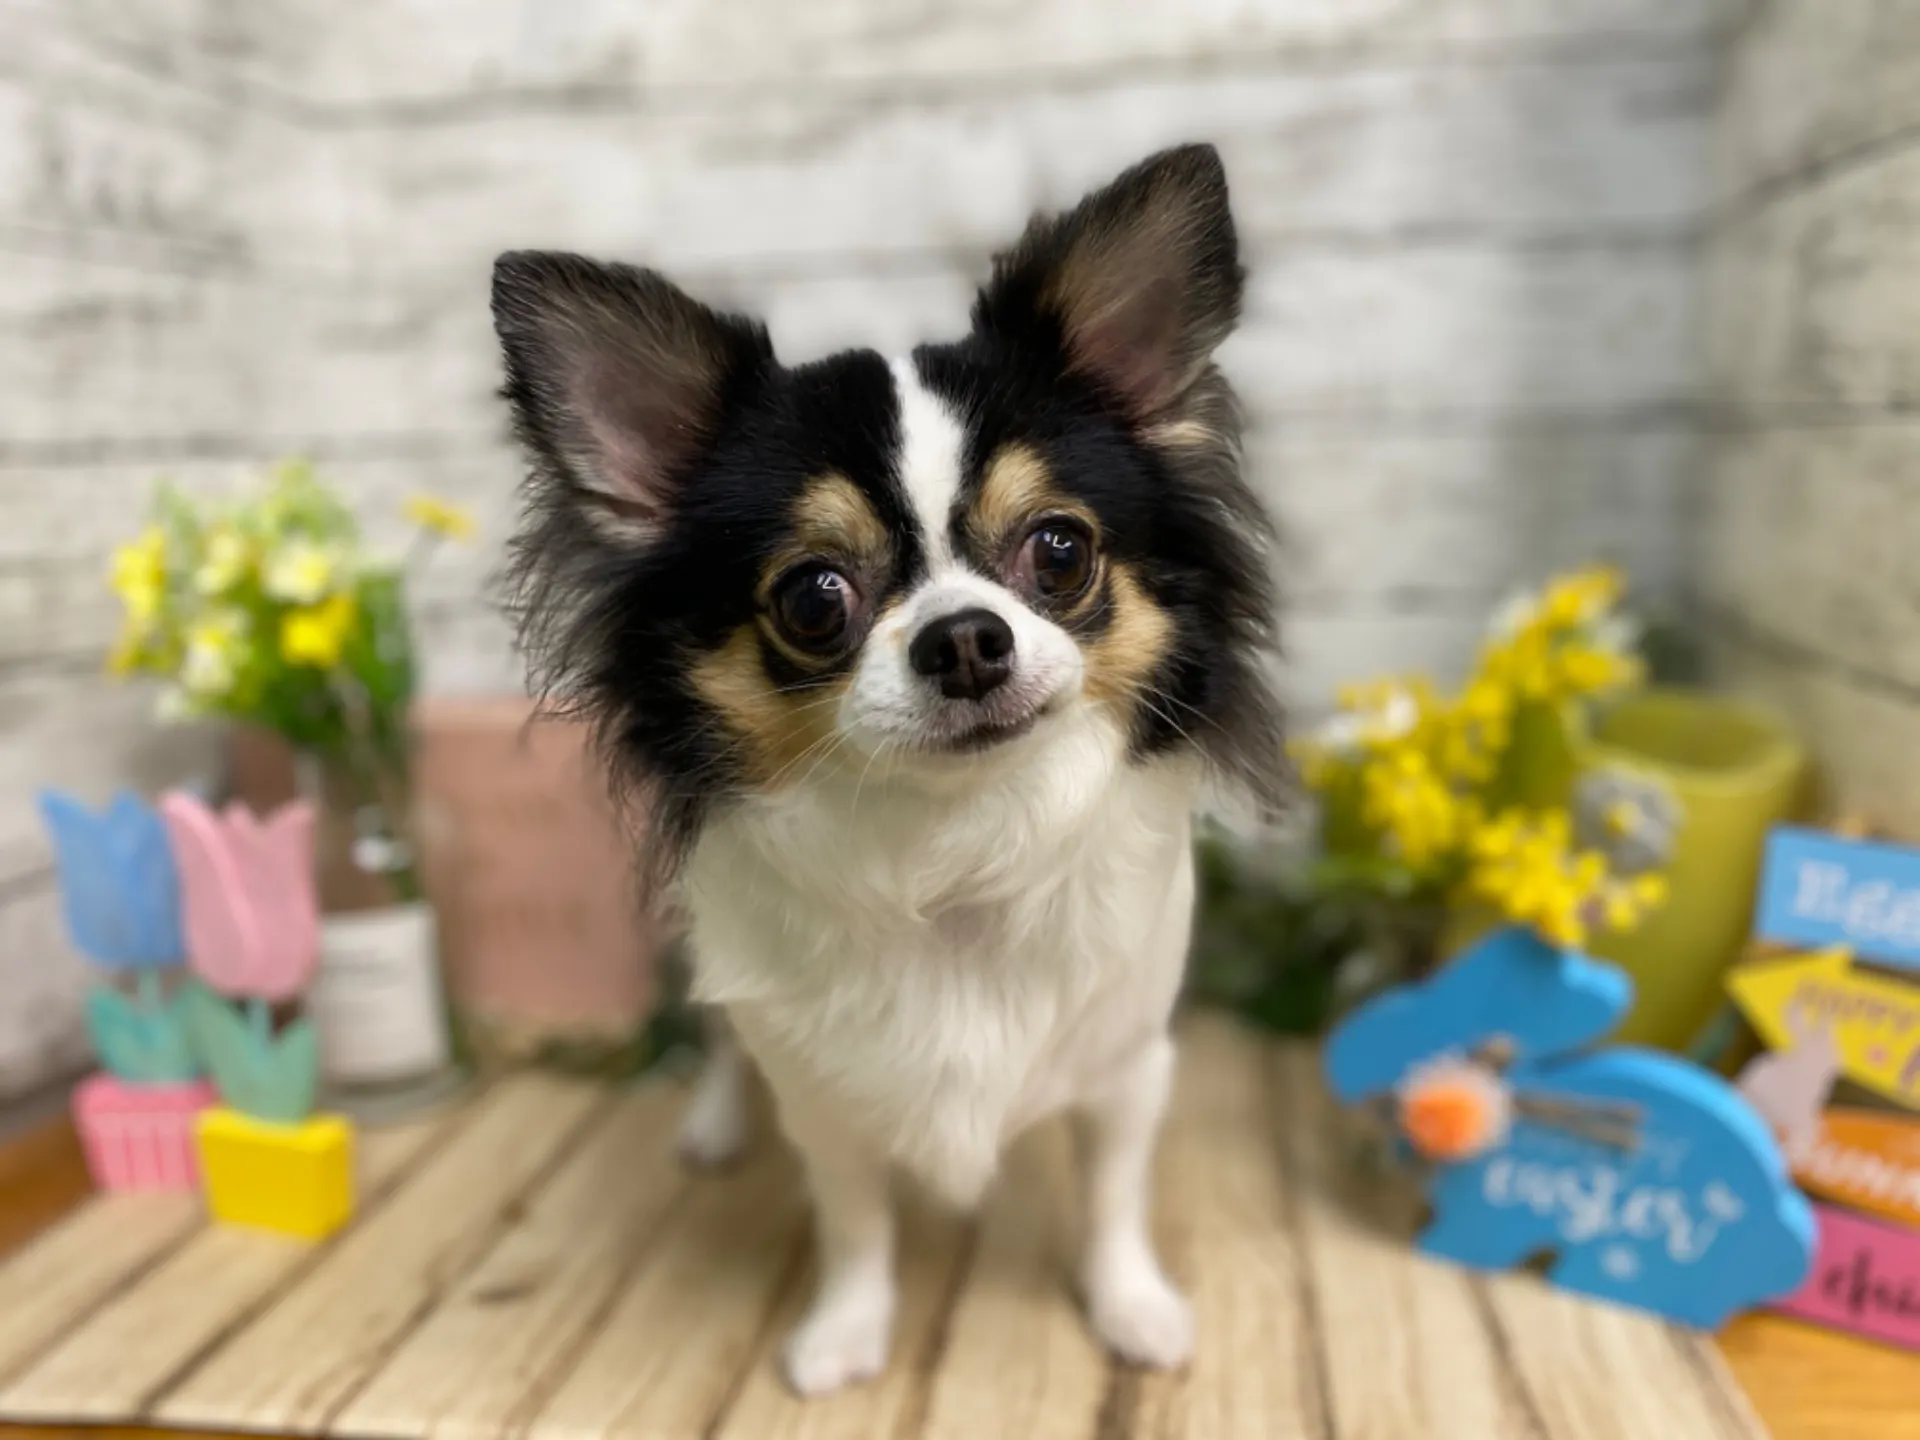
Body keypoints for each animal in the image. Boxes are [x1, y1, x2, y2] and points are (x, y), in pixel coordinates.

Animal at [491, 143, 1285, 1397]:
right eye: (816, 598)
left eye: (1060, 551)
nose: (964, 638)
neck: (953, 851)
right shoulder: (826, 1105)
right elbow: (856, 1222)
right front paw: (847, 1332)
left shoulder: (1124, 1071)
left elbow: (1113, 1199)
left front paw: (1131, 1307)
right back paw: (714, 1125)